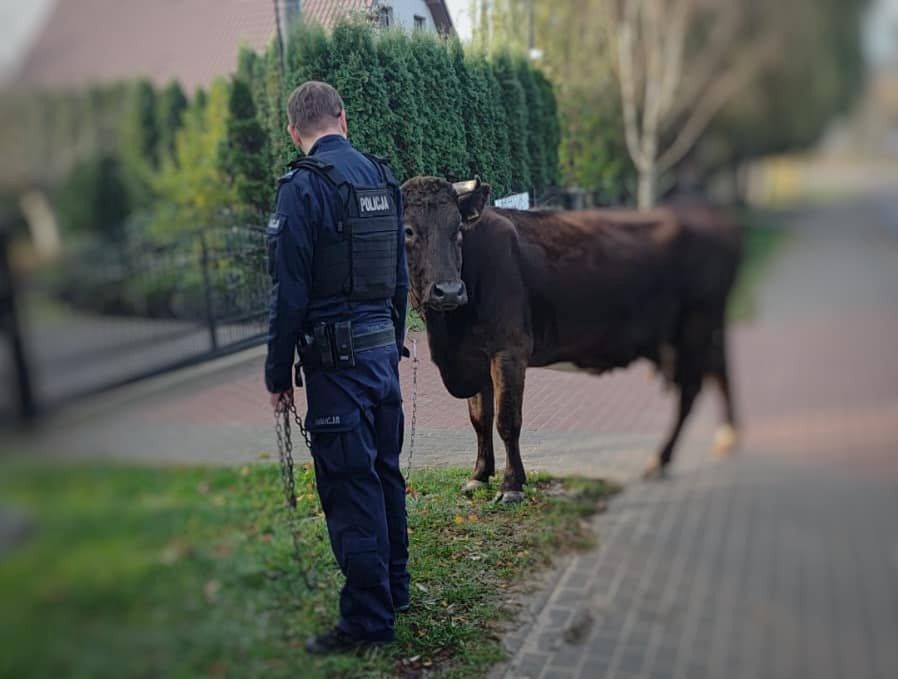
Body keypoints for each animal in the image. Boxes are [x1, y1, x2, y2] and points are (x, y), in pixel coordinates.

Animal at [402, 178, 740, 502]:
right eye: (407, 231)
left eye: (457, 228)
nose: (449, 291)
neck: (449, 334)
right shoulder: (473, 356)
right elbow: (479, 419)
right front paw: (479, 476)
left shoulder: (509, 348)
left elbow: (507, 420)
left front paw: (511, 485)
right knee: (719, 370)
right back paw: (726, 437)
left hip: (695, 325)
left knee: (690, 391)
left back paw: (661, 460)